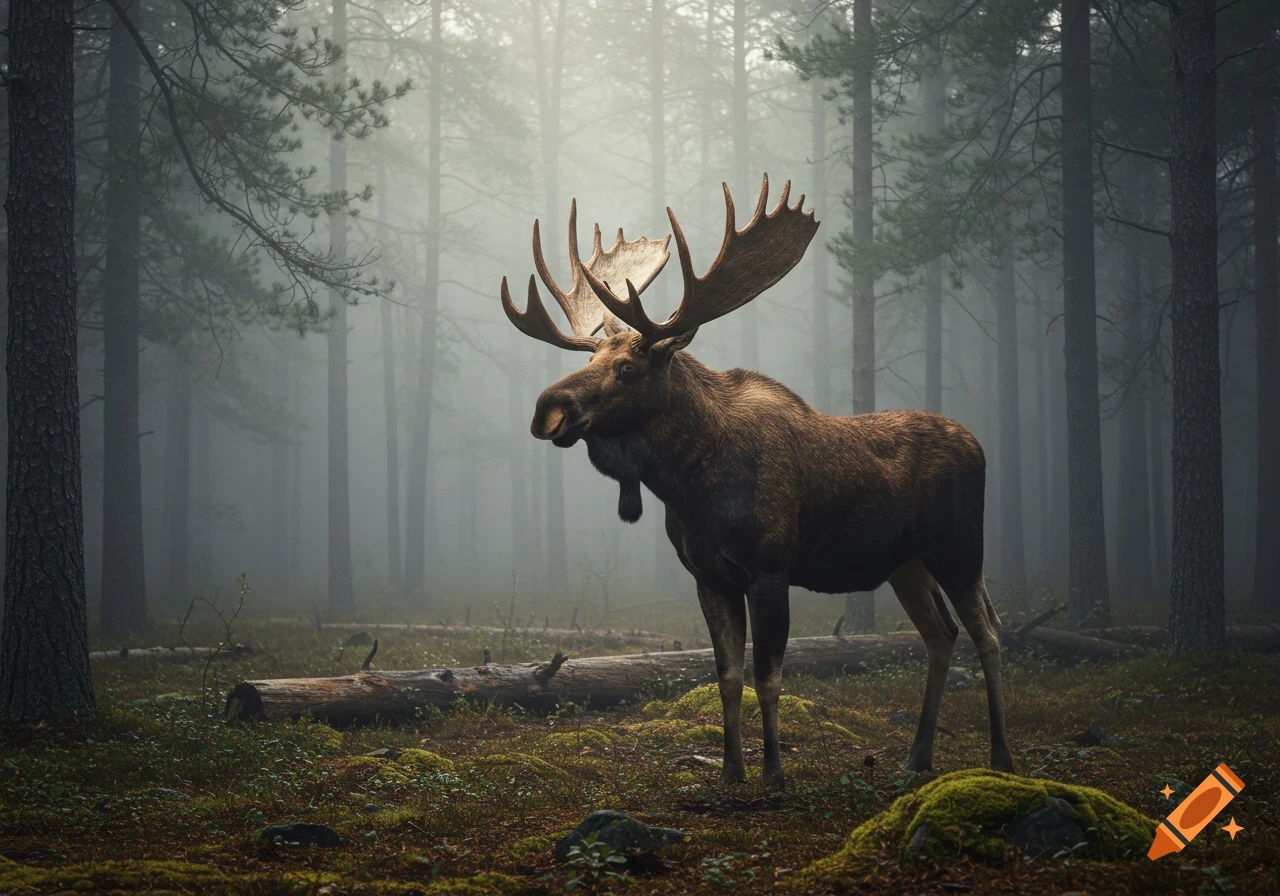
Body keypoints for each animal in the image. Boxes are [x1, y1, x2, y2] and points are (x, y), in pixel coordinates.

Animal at [500, 174, 1014, 789]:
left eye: (627, 368)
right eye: (593, 357)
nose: (547, 409)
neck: (691, 487)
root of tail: (980, 446)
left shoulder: (770, 568)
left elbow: (769, 676)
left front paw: (773, 771)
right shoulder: (709, 577)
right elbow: (726, 676)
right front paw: (729, 769)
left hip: (959, 549)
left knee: (989, 631)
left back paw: (1001, 757)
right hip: (906, 564)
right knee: (941, 635)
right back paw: (917, 757)